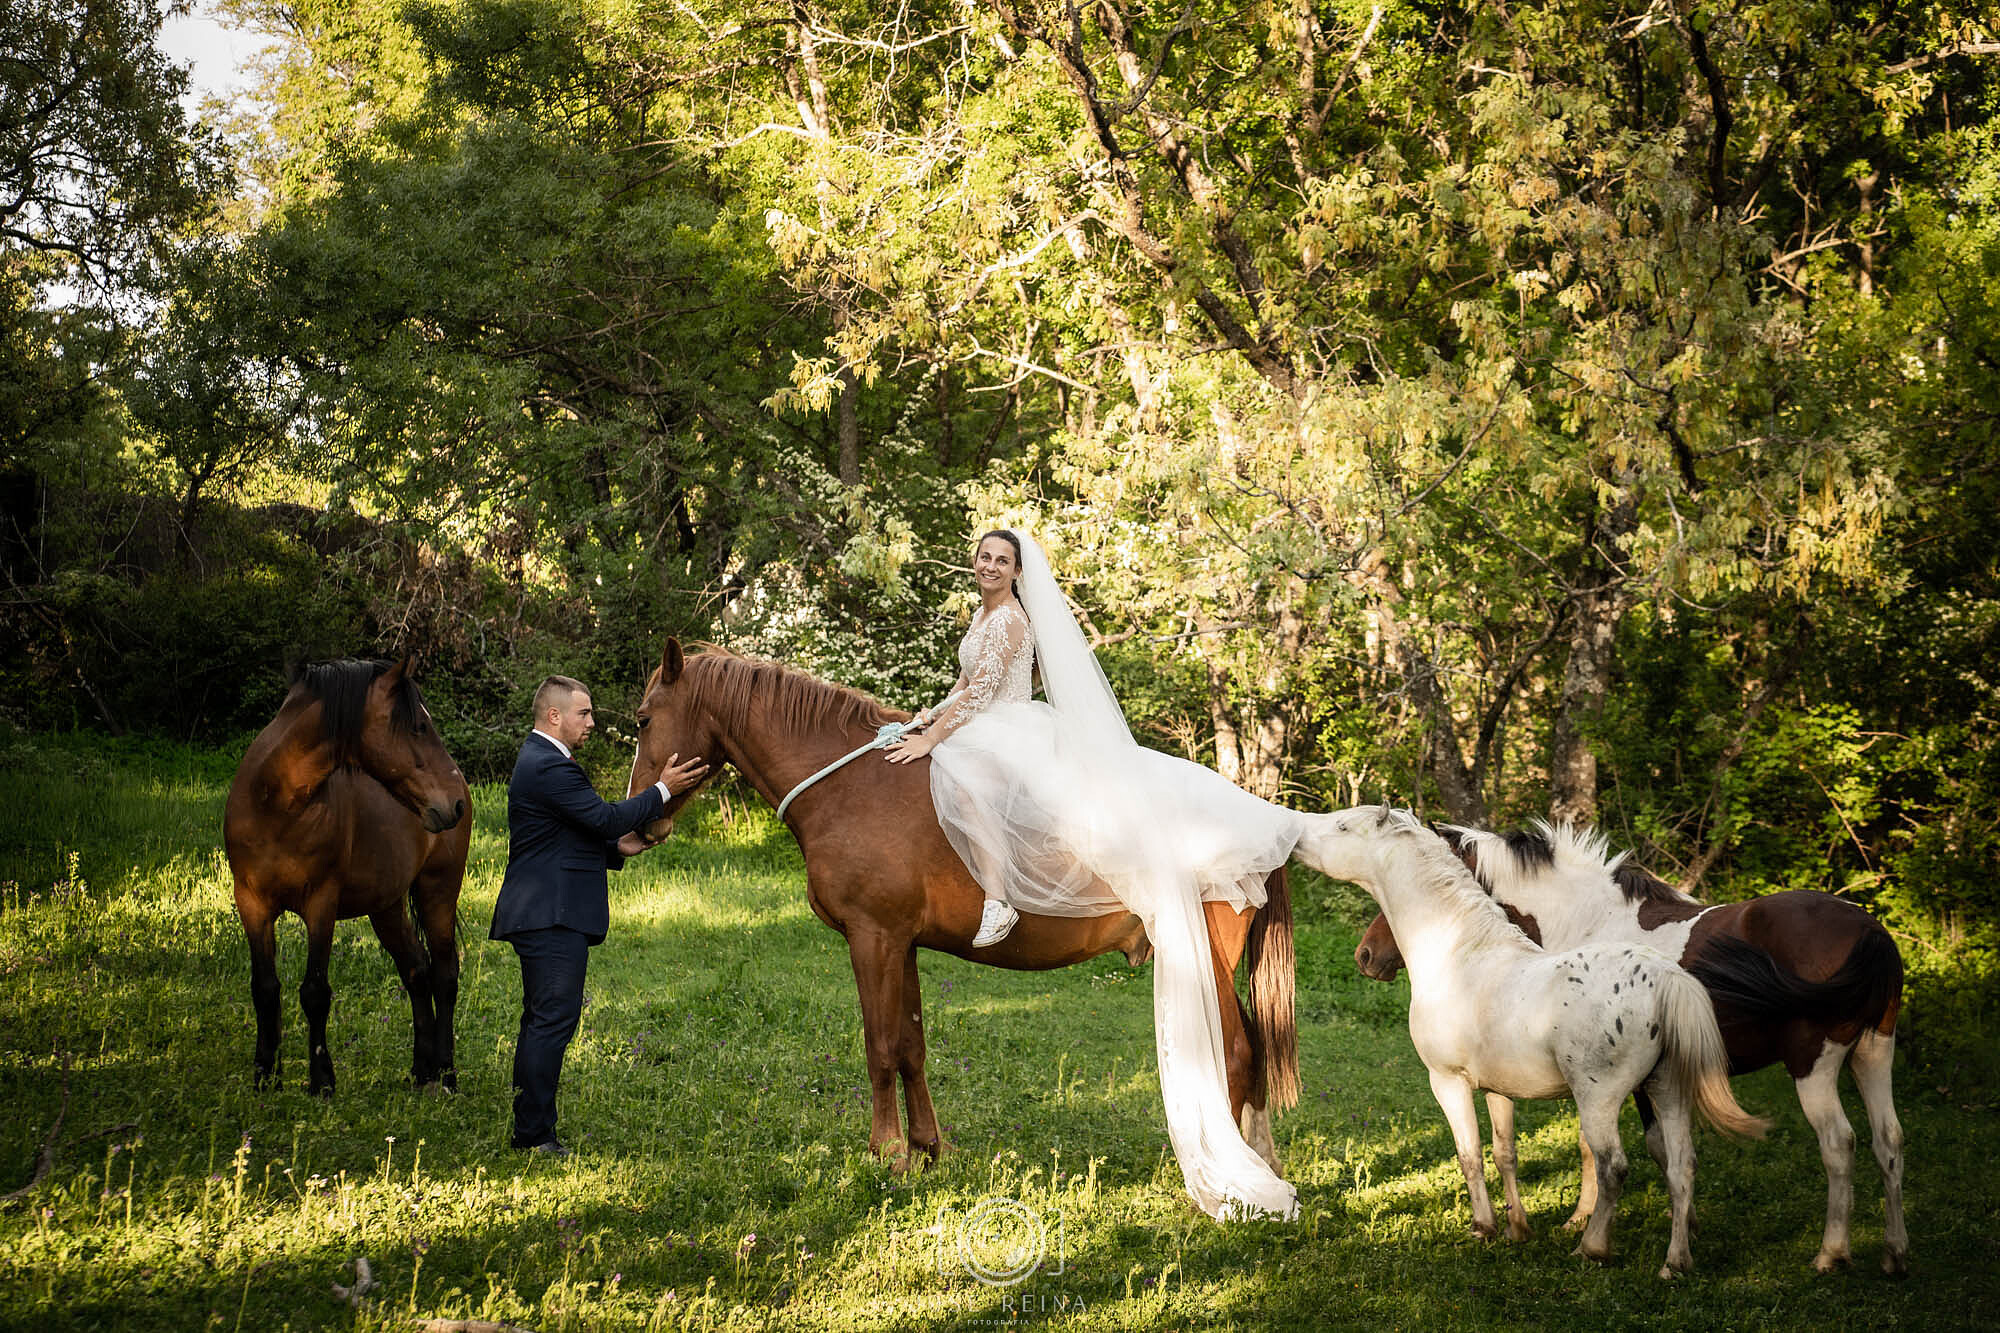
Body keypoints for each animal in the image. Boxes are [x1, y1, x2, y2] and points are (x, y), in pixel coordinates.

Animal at [223, 659, 470, 1096]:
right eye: (418, 726)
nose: (453, 801)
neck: (276, 803)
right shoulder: (251, 902)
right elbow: (265, 988)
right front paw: (265, 1076)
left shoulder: (321, 903)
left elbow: (315, 992)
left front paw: (322, 1080)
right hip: (387, 907)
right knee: (416, 972)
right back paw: (421, 1072)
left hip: (438, 892)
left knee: (444, 976)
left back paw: (446, 1074)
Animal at [622, 639, 1298, 1175]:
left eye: (643, 719)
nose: (638, 824)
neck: (853, 787)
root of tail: (1264, 817)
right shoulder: (903, 945)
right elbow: (910, 1046)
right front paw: (928, 1147)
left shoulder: (872, 939)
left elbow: (878, 1045)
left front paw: (887, 1153)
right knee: (1252, 1054)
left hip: (1202, 960)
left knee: (1237, 1054)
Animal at [1295, 806, 1766, 1278]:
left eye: (1342, 826)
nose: (1366, 957)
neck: (1459, 951)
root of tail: (1665, 977)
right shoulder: (1498, 1088)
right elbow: (1505, 1153)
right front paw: (1516, 1228)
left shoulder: (1446, 1082)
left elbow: (1469, 1154)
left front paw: (1482, 1227)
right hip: (1666, 1090)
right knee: (1681, 1166)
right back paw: (1675, 1262)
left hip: (1601, 1100)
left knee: (1613, 1166)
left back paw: (1592, 1247)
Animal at [1352, 819, 1908, 1275]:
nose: (1366, 956)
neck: (1584, 917)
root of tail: (1870, 930)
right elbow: (1664, 1149)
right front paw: (1685, 1225)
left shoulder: (1606, 1079)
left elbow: (1600, 1147)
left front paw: (1585, 1221)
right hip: (1873, 1056)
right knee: (1888, 1141)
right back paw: (1894, 1252)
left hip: (1814, 1066)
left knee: (1838, 1144)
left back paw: (1831, 1253)